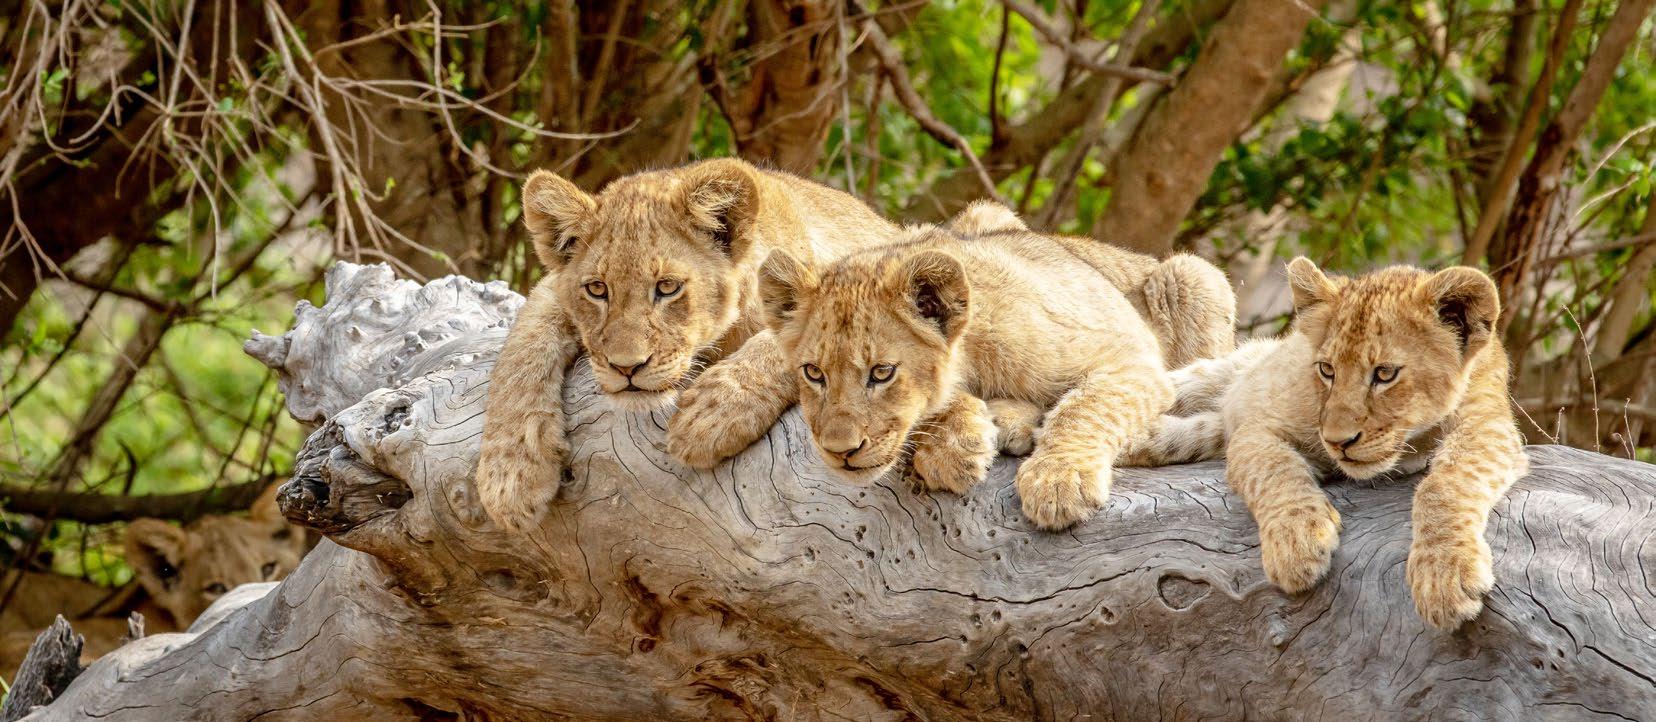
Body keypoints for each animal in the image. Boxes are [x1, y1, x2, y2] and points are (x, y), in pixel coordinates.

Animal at [475, 159, 899, 530]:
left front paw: (712, 414)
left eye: (667, 287)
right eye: (596, 289)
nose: (626, 367)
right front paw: (510, 476)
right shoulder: (550, 291)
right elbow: (522, 350)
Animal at [671, 221, 1177, 530]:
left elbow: (1087, 407)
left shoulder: (1135, 360)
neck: (976, 357)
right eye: (813, 373)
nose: (840, 452)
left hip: (1187, 277)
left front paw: (1058, 481)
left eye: (882, 372)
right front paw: (955, 445)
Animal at [1123, 258, 1528, 629]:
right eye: (1327, 369)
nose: (1338, 442)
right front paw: (1298, 542)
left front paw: (1444, 574)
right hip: (1210, 378)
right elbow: (1274, 469)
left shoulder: (1489, 426)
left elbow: (1446, 484)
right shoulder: (1257, 428)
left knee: (1197, 431)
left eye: (1385, 373)